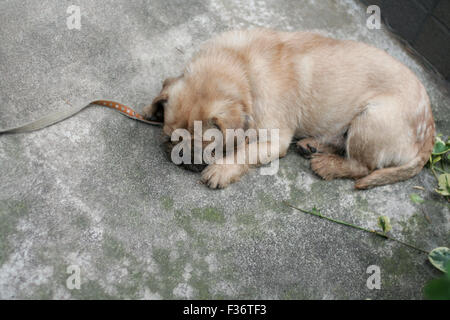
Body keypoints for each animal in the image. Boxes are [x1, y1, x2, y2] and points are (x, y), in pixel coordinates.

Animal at [142, 28, 434, 189]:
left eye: (205, 143)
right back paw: (314, 145)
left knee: (363, 166)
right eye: (171, 138)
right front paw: (151, 107)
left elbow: (244, 152)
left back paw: (327, 164)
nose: (181, 155)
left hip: (372, 118)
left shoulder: (273, 140)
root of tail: (430, 127)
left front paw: (222, 169)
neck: (239, 65)